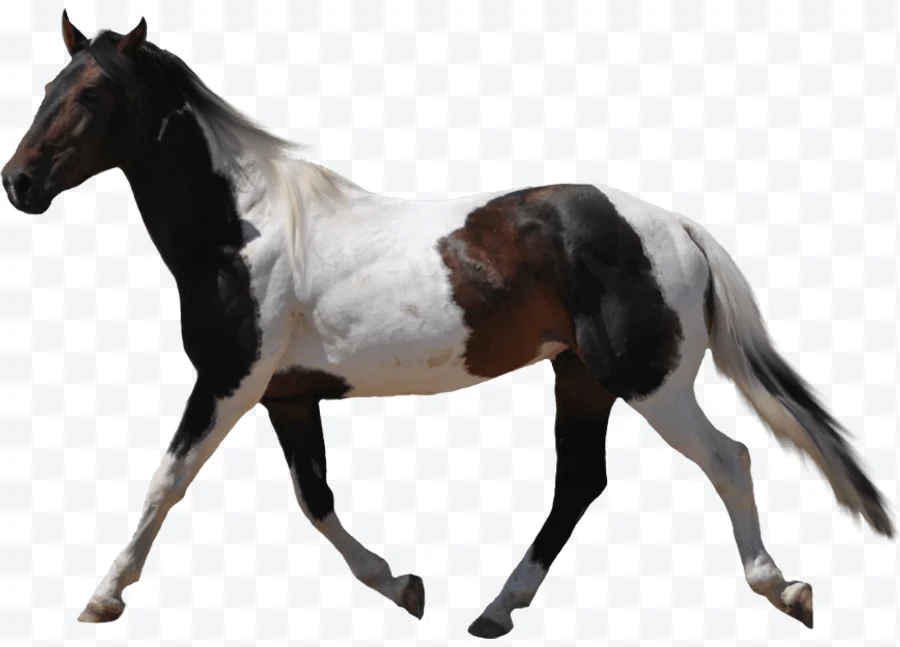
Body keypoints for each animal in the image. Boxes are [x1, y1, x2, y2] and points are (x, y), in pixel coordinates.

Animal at [2, 12, 892, 638]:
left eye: (88, 94)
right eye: (48, 86)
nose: (19, 183)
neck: (241, 231)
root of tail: (674, 225)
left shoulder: (228, 381)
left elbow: (168, 479)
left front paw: (102, 596)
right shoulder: (286, 394)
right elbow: (314, 497)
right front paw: (404, 586)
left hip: (650, 382)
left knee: (728, 458)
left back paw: (785, 588)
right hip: (582, 378)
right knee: (580, 484)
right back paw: (495, 609)